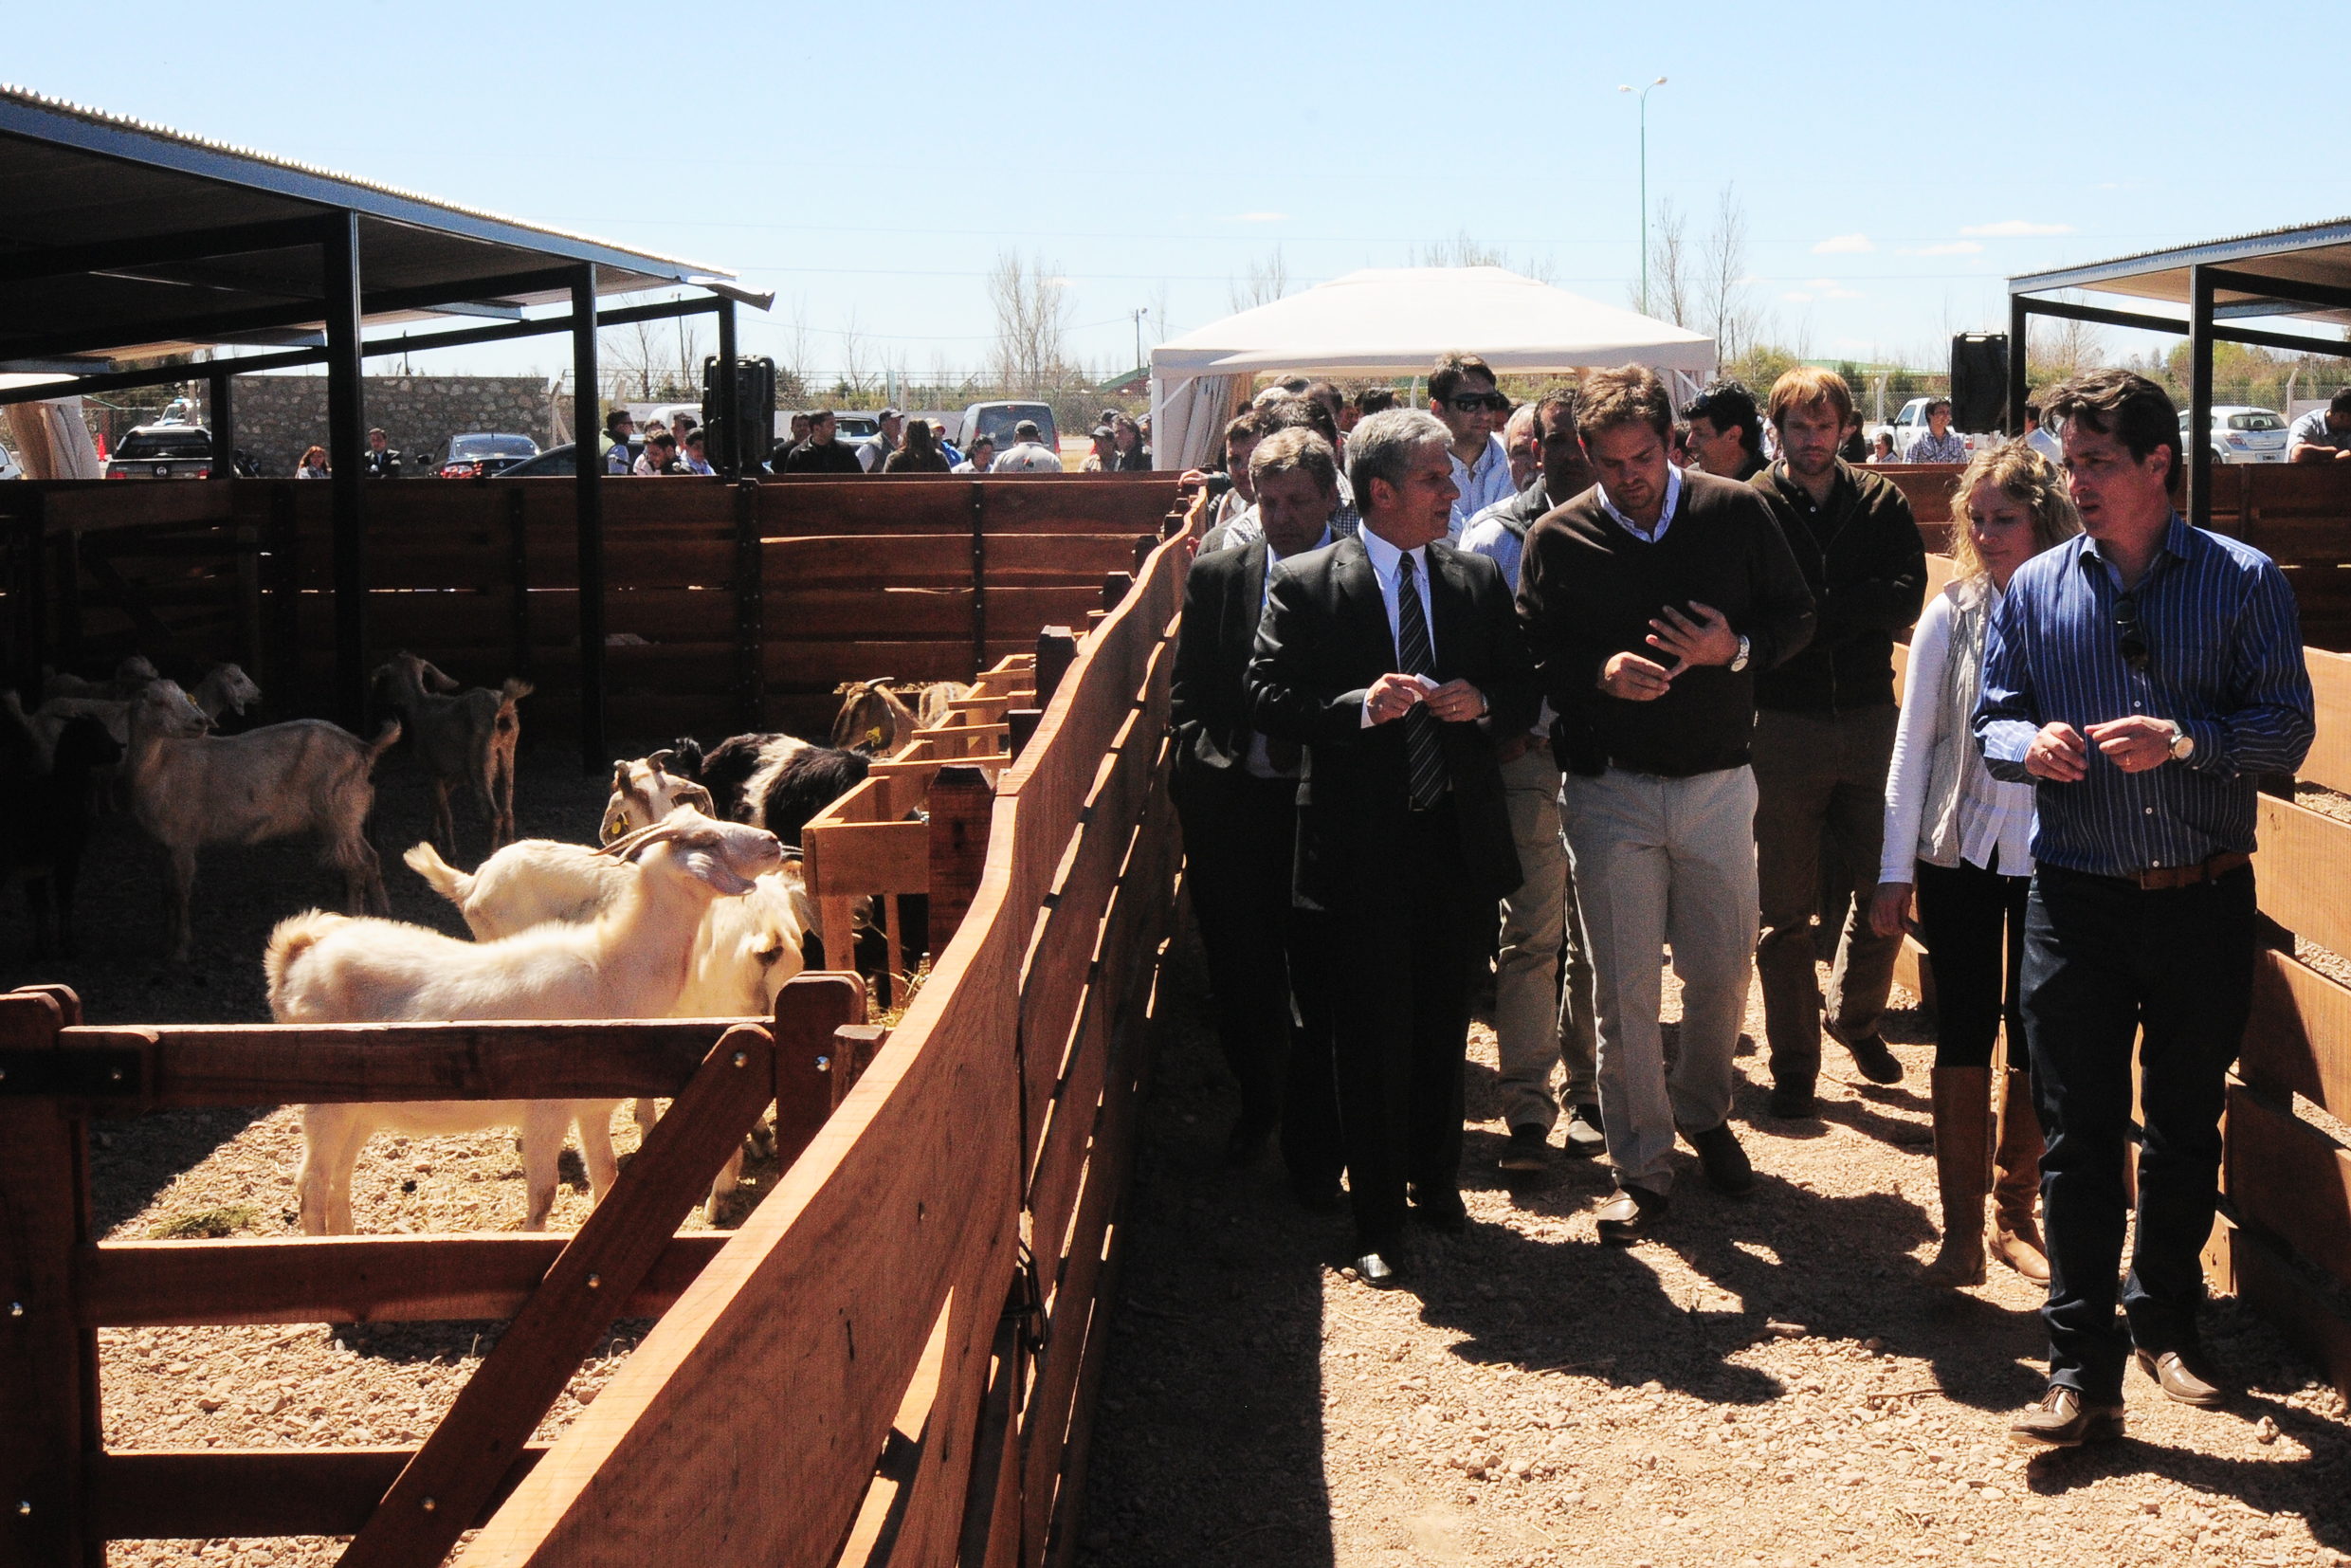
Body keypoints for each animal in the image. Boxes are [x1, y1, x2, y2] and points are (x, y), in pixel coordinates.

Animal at [125, 682, 397, 963]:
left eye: (184, 697)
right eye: (158, 702)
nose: (199, 721)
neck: (162, 764)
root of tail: (364, 748)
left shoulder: (183, 839)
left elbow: (180, 893)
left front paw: (180, 949)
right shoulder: (161, 844)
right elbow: (166, 892)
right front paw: (166, 943)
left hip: (337, 810)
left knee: (357, 865)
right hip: (348, 817)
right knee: (370, 856)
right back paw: (383, 914)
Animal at [266, 809, 780, 1241]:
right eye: (708, 840)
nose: (775, 840)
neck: (610, 968)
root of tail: (296, 958)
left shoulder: (591, 1109)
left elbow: (607, 1180)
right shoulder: (544, 1111)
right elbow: (543, 1197)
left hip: (360, 1110)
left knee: (337, 1181)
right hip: (325, 1104)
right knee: (311, 1186)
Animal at [371, 648, 533, 860]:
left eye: (388, 677)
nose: (390, 699)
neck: (420, 707)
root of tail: (503, 709)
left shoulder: (432, 769)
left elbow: (445, 811)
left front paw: (449, 851)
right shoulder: (456, 774)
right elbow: (440, 803)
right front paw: (433, 836)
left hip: (480, 762)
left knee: (493, 815)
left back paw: (489, 855)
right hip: (507, 756)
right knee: (508, 812)